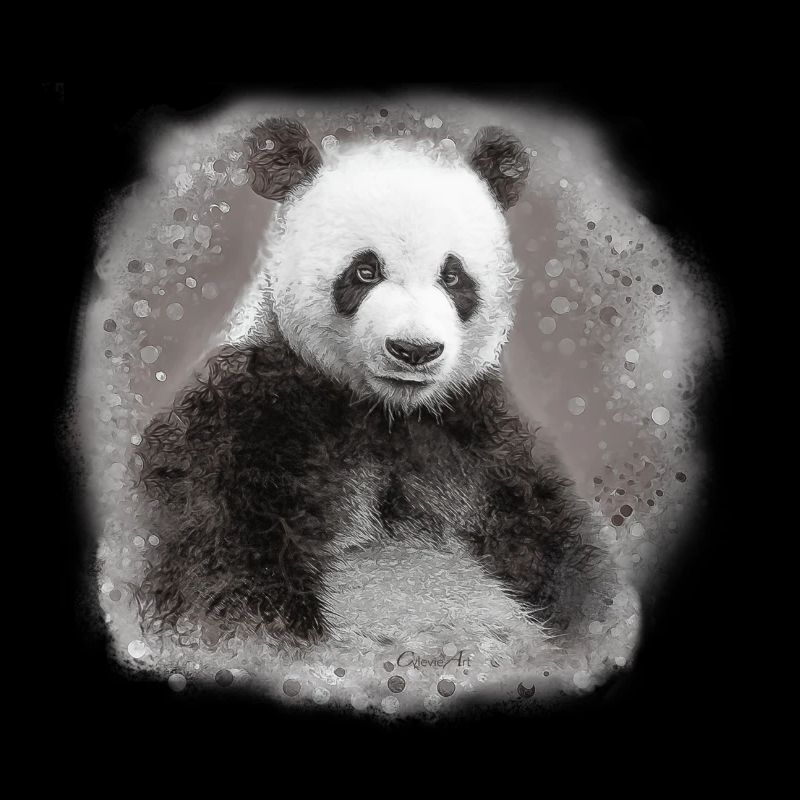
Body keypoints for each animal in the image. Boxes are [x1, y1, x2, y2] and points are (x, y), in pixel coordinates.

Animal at [136, 118, 607, 648]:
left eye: (453, 276)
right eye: (365, 270)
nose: (414, 350)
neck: (386, 412)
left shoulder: (481, 435)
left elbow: (565, 548)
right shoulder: (249, 417)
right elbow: (218, 568)